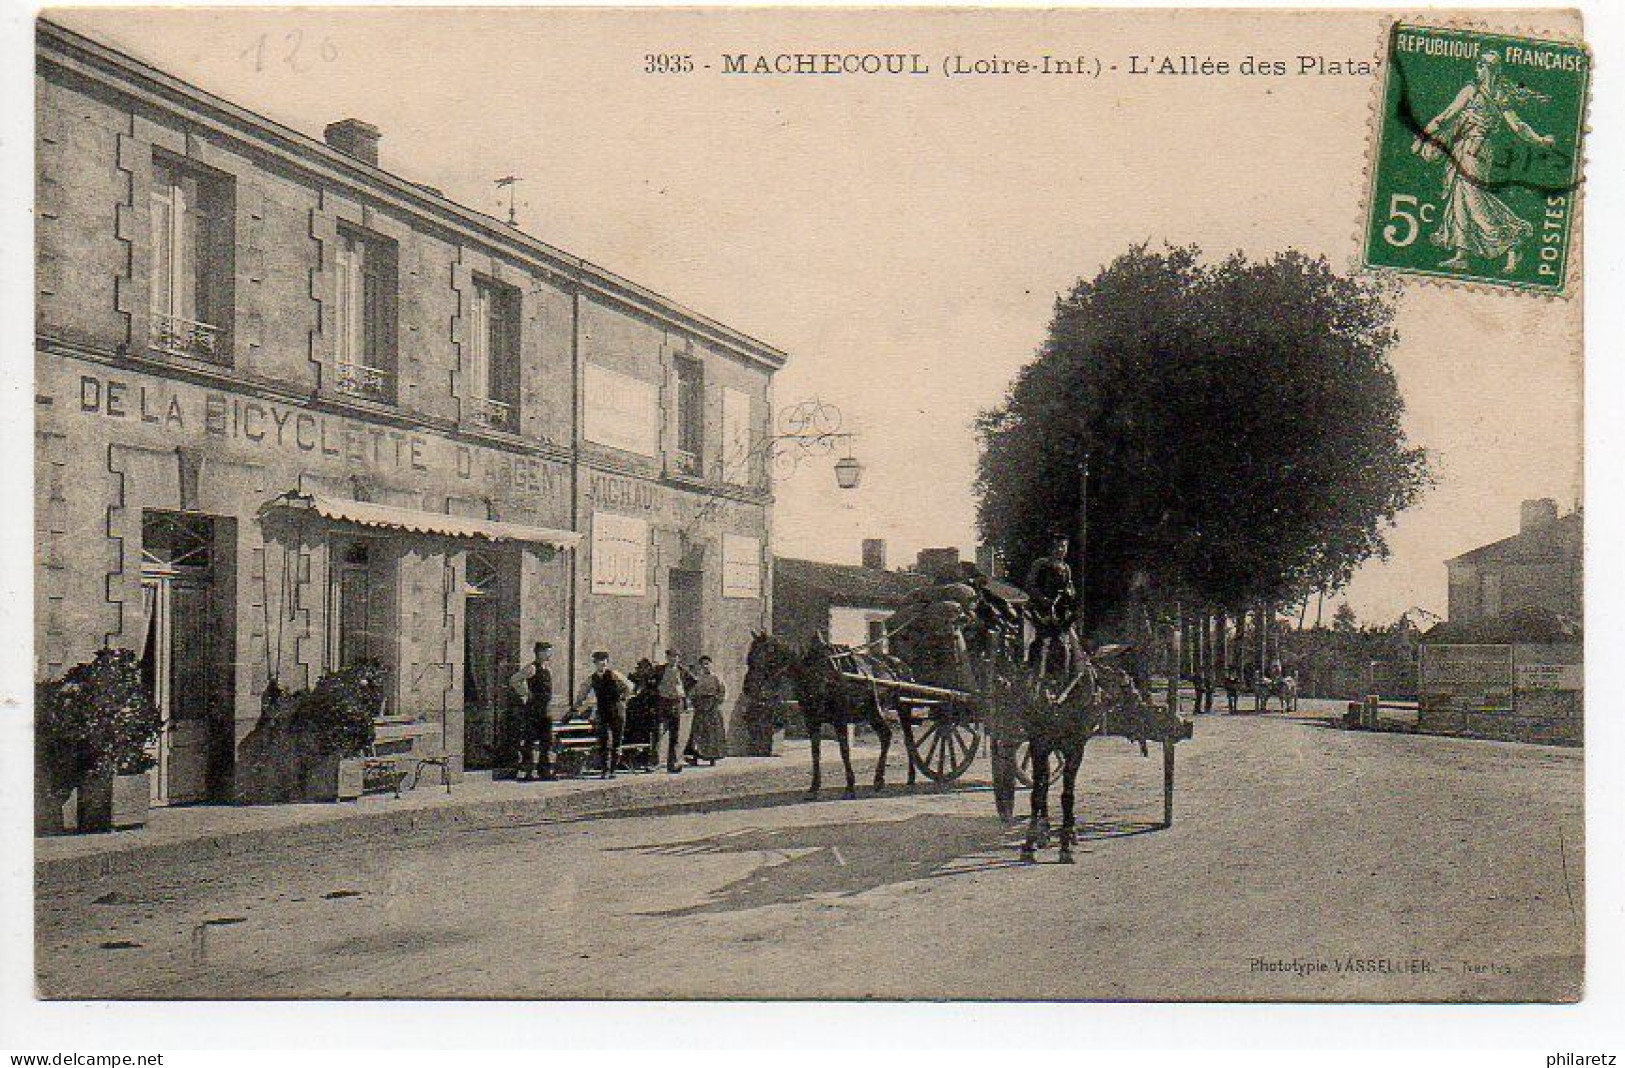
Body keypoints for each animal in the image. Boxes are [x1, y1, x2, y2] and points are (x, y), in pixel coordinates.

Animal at [744, 627, 910, 796]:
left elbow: (844, 751)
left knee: (904, 739)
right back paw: (892, 779)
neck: (817, 673)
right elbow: (815, 752)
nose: (747, 688)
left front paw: (850, 785)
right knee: (890, 737)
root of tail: (899, 664)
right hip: (873, 714)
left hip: (900, 709)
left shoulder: (840, 719)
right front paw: (814, 786)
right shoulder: (811, 720)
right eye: (749, 658)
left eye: (763, 658)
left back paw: (889, 778)